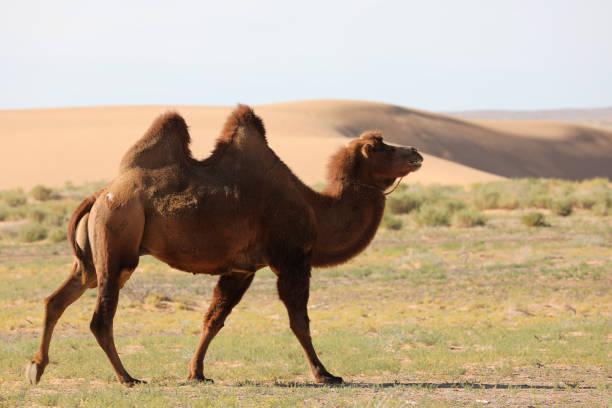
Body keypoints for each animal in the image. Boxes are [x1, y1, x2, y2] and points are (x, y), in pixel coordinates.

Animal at [26, 105, 424, 386]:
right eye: (379, 147)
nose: (416, 152)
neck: (315, 210)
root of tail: (99, 194)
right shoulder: (291, 259)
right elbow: (300, 321)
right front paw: (325, 374)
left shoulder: (240, 268)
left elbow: (213, 320)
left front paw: (196, 372)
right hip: (117, 242)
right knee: (100, 317)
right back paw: (127, 378)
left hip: (93, 256)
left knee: (57, 299)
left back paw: (36, 369)